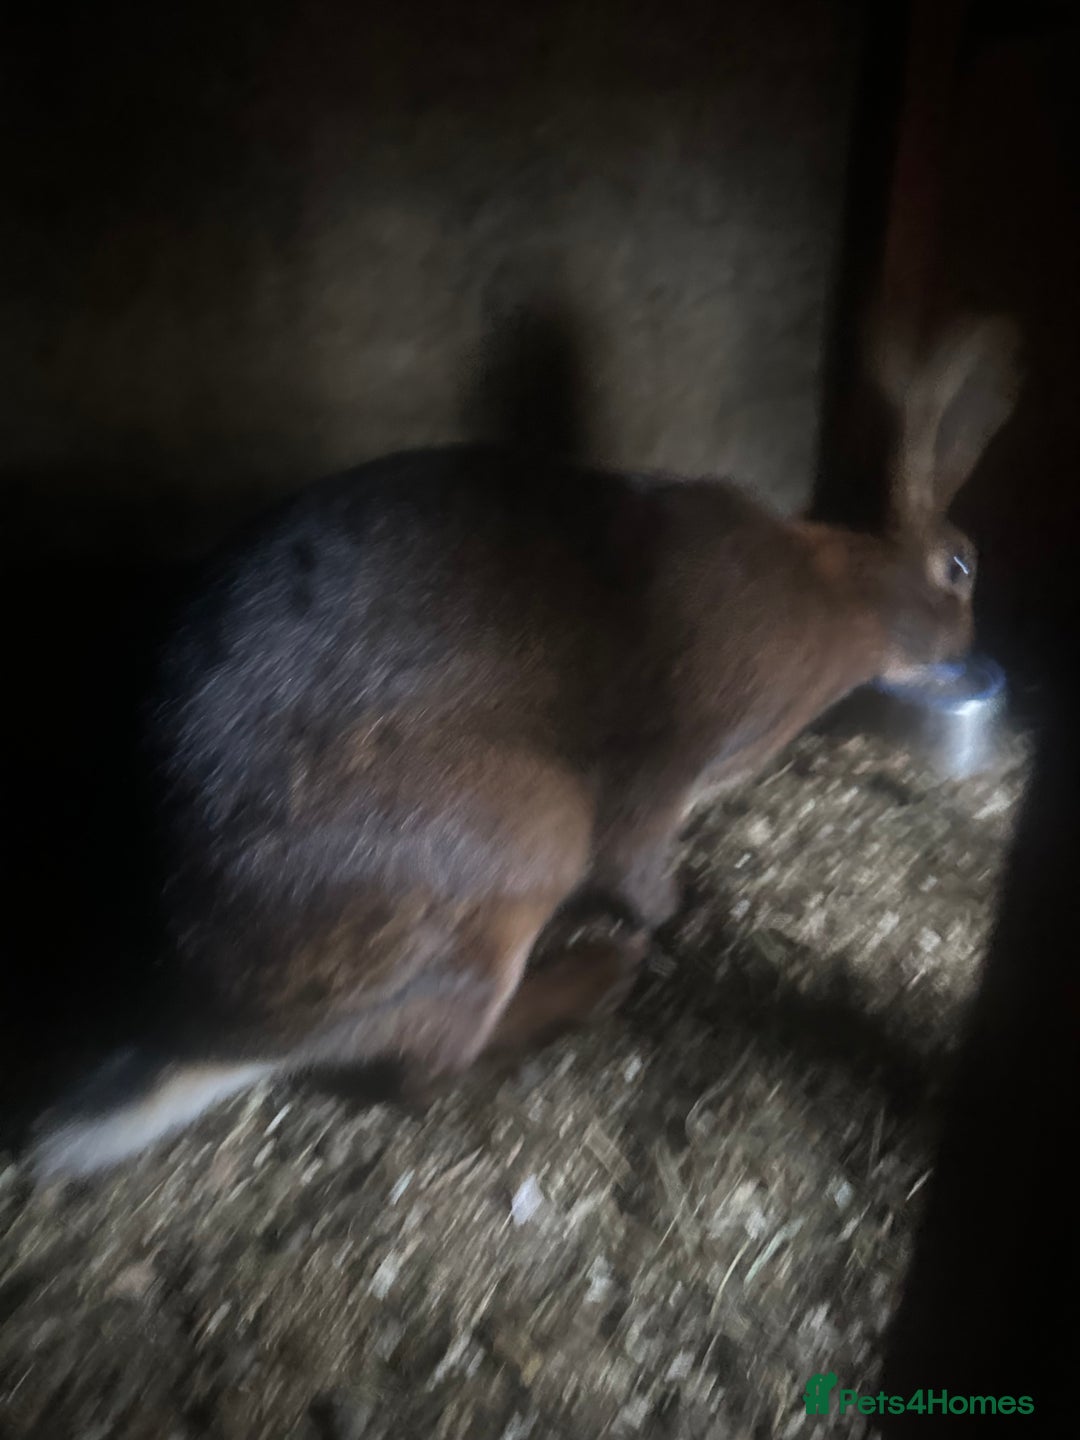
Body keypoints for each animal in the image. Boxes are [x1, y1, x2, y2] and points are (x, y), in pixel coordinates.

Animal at [28, 314, 1018, 1180]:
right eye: (962, 569)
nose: (969, 643)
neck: (847, 585)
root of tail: (223, 1039)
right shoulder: (662, 776)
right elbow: (641, 864)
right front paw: (685, 911)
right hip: (523, 847)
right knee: (429, 1070)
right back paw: (593, 979)